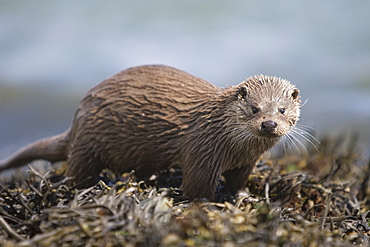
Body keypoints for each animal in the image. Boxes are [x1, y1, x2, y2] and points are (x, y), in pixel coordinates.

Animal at [0, 65, 300, 201]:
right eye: (254, 108)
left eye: (282, 109)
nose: (269, 124)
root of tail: (77, 118)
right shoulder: (200, 148)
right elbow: (196, 187)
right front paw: (209, 203)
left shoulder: (245, 162)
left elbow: (238, 181)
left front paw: (243, 196)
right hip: (88, 143)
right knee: (77, 172)